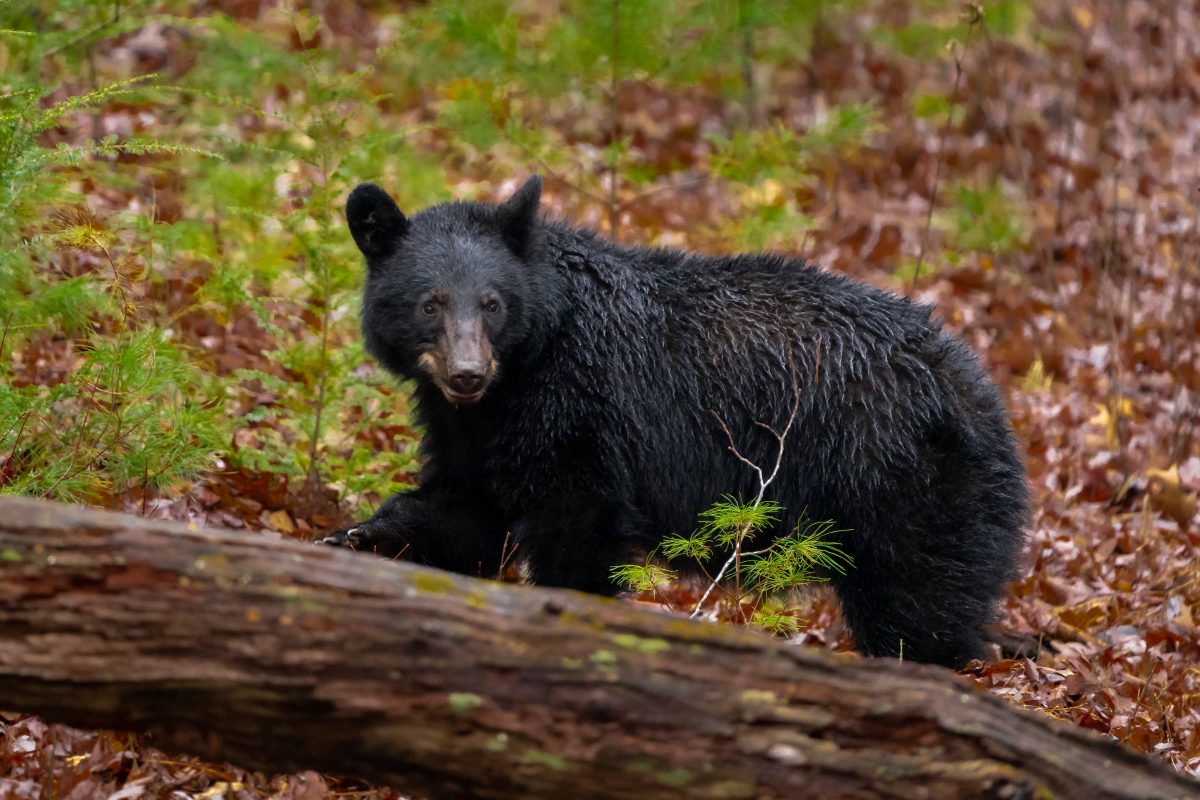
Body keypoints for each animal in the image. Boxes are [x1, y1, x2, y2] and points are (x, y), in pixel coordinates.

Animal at [322, 174, 1028, 669]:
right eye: (430, 303)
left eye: (492, 303)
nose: (468, 373)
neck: (523, 370)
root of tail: (981, 391)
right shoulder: (476, 433)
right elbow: (464, 509)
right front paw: (356, 537)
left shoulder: (581, 407)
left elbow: (577, 526)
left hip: (906, 487)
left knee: (921, 611)